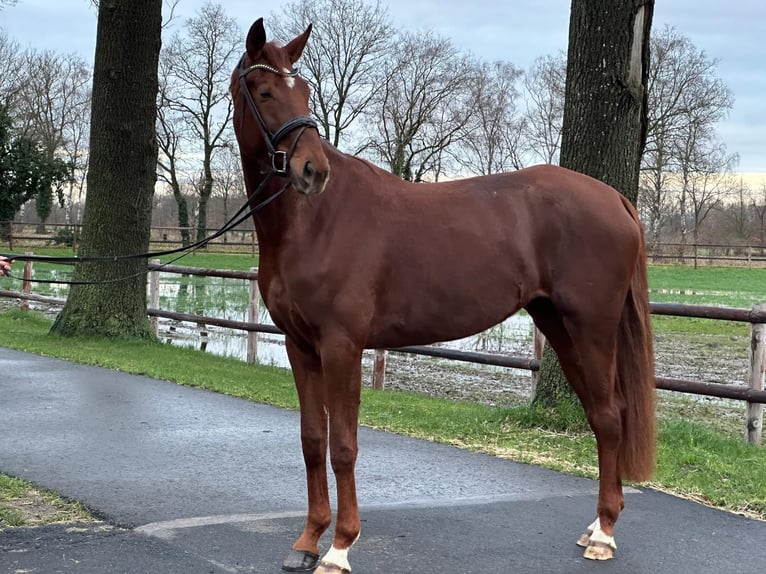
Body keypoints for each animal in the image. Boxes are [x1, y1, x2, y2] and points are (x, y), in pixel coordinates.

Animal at [231, 18, 656, 574]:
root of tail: (614, 198)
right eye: (265, 91)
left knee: (609, 418)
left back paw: (604, 533)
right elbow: (312, 440)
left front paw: (340, 547)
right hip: (559, 327)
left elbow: (343, 444)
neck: (314, 222)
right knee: (600, 416)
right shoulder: (300, 346)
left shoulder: (342, 346)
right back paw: (596, 527)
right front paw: (307, 541)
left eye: (301, 90)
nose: (312, 171)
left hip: (592, 328)